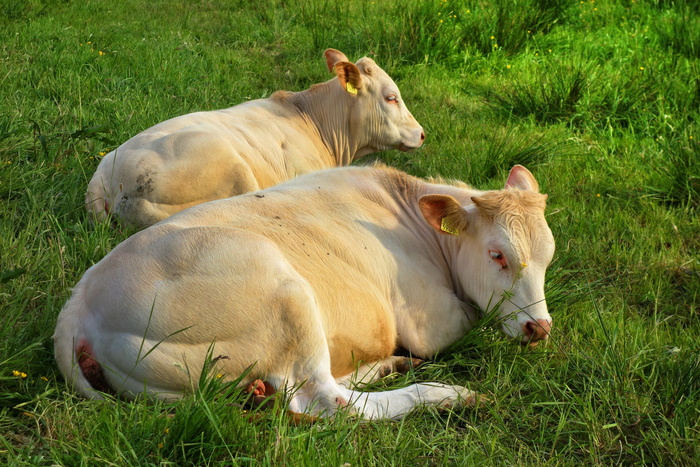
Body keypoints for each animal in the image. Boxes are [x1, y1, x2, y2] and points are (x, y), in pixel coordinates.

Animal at [54, 164, 556, 420]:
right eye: (497, 255)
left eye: (549, 257)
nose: (540, 328)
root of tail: (80, 302)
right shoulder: (431, 321)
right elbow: (474, 321)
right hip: (286, 294)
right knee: (328, 402)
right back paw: (445, 393)